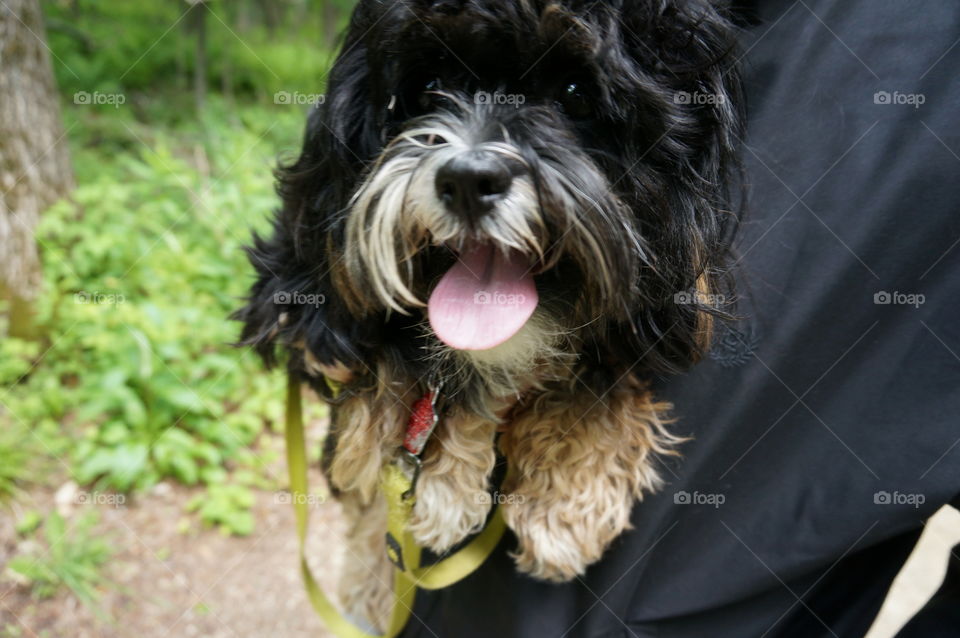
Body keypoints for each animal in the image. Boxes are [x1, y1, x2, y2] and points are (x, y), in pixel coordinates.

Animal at [238, 0, 744, 632]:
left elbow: (604, 363)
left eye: (575, 93)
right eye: (428, 86)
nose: (467, 179)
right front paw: (440, 472)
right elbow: (384, 361)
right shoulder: (297, 285)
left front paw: (565, 497)